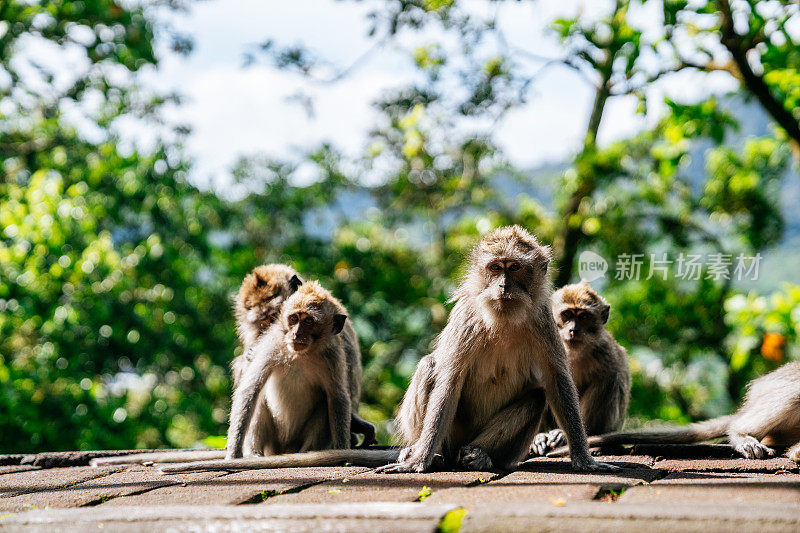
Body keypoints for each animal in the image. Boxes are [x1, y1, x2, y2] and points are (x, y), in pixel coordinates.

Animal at [378, 222, 616, 472]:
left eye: (514, 267)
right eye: (495, 268)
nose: (503, 285)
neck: (503, 320)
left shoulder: (543, 321)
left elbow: (558, 380)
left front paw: (584, 459)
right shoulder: (467, 318)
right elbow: (449, 381)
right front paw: (419, 459)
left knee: (536, 398)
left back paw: (480, 455)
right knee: (428, 365)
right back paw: (433, 454)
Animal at [532, 280, 632, 456]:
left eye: (584, 317)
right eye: (567, 315)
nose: (573, 329)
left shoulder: (606, 352)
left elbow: (612, 374)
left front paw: (563, 435)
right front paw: (539, 437)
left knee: (612, 379)